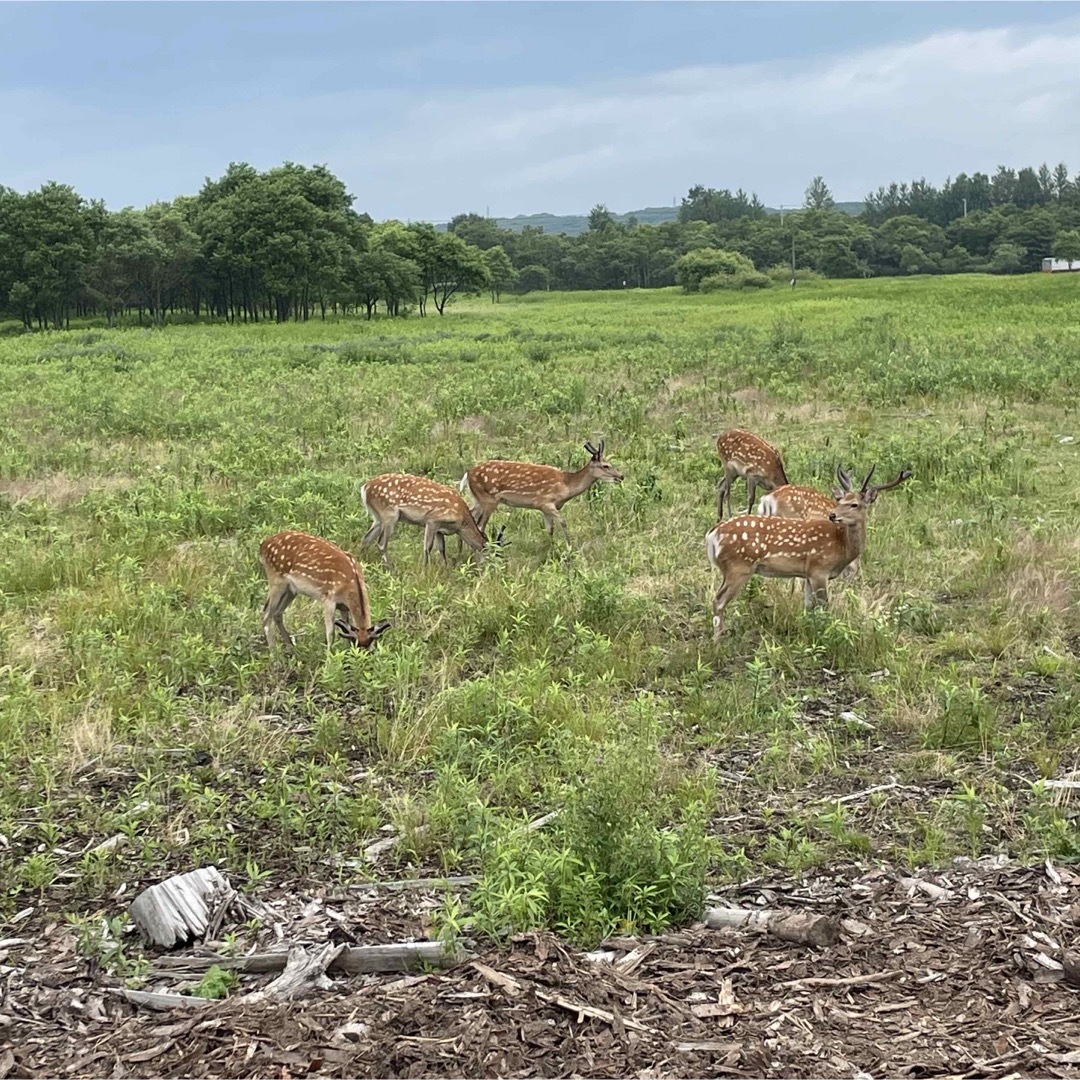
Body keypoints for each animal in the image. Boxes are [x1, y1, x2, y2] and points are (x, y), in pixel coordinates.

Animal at [258, 529, 390, 648]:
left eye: (371, 647)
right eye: (357, 644)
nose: (362, 657)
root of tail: (263, 546)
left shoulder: (344, 607)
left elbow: (346, 629)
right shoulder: (329, 599)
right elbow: (330, 634)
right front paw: (329, 657)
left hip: (291, 589)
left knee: (277, 613)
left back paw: (291, 648)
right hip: (276, 580)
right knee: (266, 614)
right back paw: (274, 653)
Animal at [358, 475, 501, 570]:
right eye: (490, 553)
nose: (492, 570)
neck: (461, 522)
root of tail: (365, 488)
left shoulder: (440, 529)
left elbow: (442, 548)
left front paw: (445, 568)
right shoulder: (432, 519)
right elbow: (428, 547)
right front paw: (425, 570)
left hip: (378, 517)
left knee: (366, 539)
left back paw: (364, 564)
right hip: (389, 514)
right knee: (381, 543)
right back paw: (392, 569)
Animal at [457, 438, 622, 544]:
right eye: (606, 465)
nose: (621, 476)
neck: (566, 486)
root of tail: (468, 474)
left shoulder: (546, 508)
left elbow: (550, 529)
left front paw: (551, 547)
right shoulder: (545, 502)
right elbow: (563, 522)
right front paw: (570, 546)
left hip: (478, 499)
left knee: (470, 517)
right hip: (488, 499)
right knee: (479, 525)